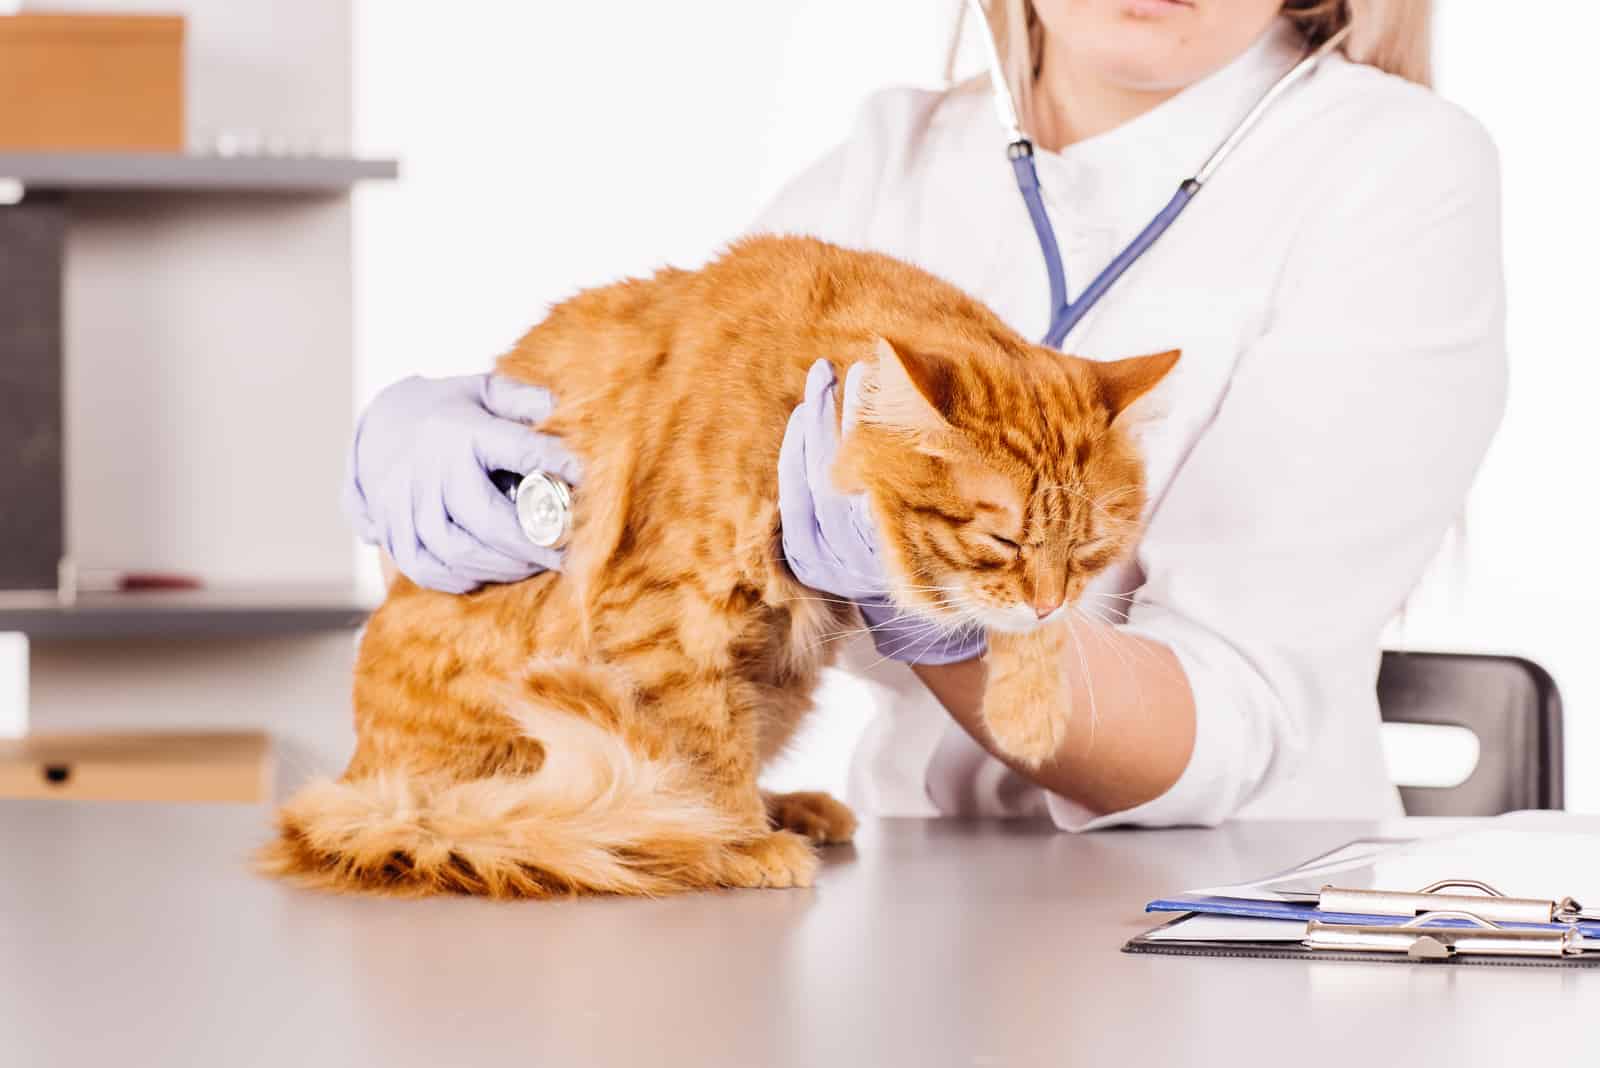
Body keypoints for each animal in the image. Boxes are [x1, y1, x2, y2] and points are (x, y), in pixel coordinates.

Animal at [262, 238, 1177, 895]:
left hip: (783, 683)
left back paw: (796, 808)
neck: (798, 389)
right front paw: (733, 845)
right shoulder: (668, 614)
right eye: (1004, 543)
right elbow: (701, 749)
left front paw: (1030, 711)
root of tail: (365, 790)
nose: (1050, 598)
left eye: (1088, 548)